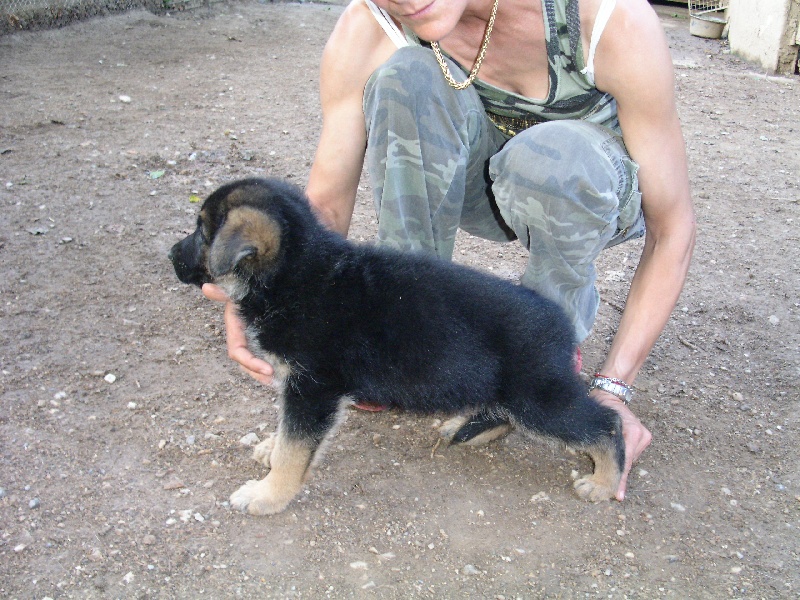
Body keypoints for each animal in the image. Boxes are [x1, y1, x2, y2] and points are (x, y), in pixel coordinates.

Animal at [169, 178, 624, 516]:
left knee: (605, 423)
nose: (171, 253)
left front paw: (268, 495)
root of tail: (561, 326)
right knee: (506, 414)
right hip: (509, 390)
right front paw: (270, 447)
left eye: (201, 231)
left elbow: (295, 450)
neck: (297, 275)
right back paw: (465, 428)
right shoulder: (299, 389)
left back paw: (604, 481)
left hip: (539, 397)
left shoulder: (312, 388)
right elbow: (287, 435)